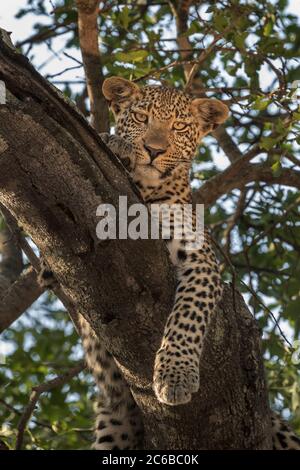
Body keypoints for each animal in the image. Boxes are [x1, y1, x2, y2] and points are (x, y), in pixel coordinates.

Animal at [39, 75, 300, 450]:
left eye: (178, 127)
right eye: (141, 118)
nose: (153, 150)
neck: (146, 192)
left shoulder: (200, 259)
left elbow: (186, 317)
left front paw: (175, 376)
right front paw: (117, 145)